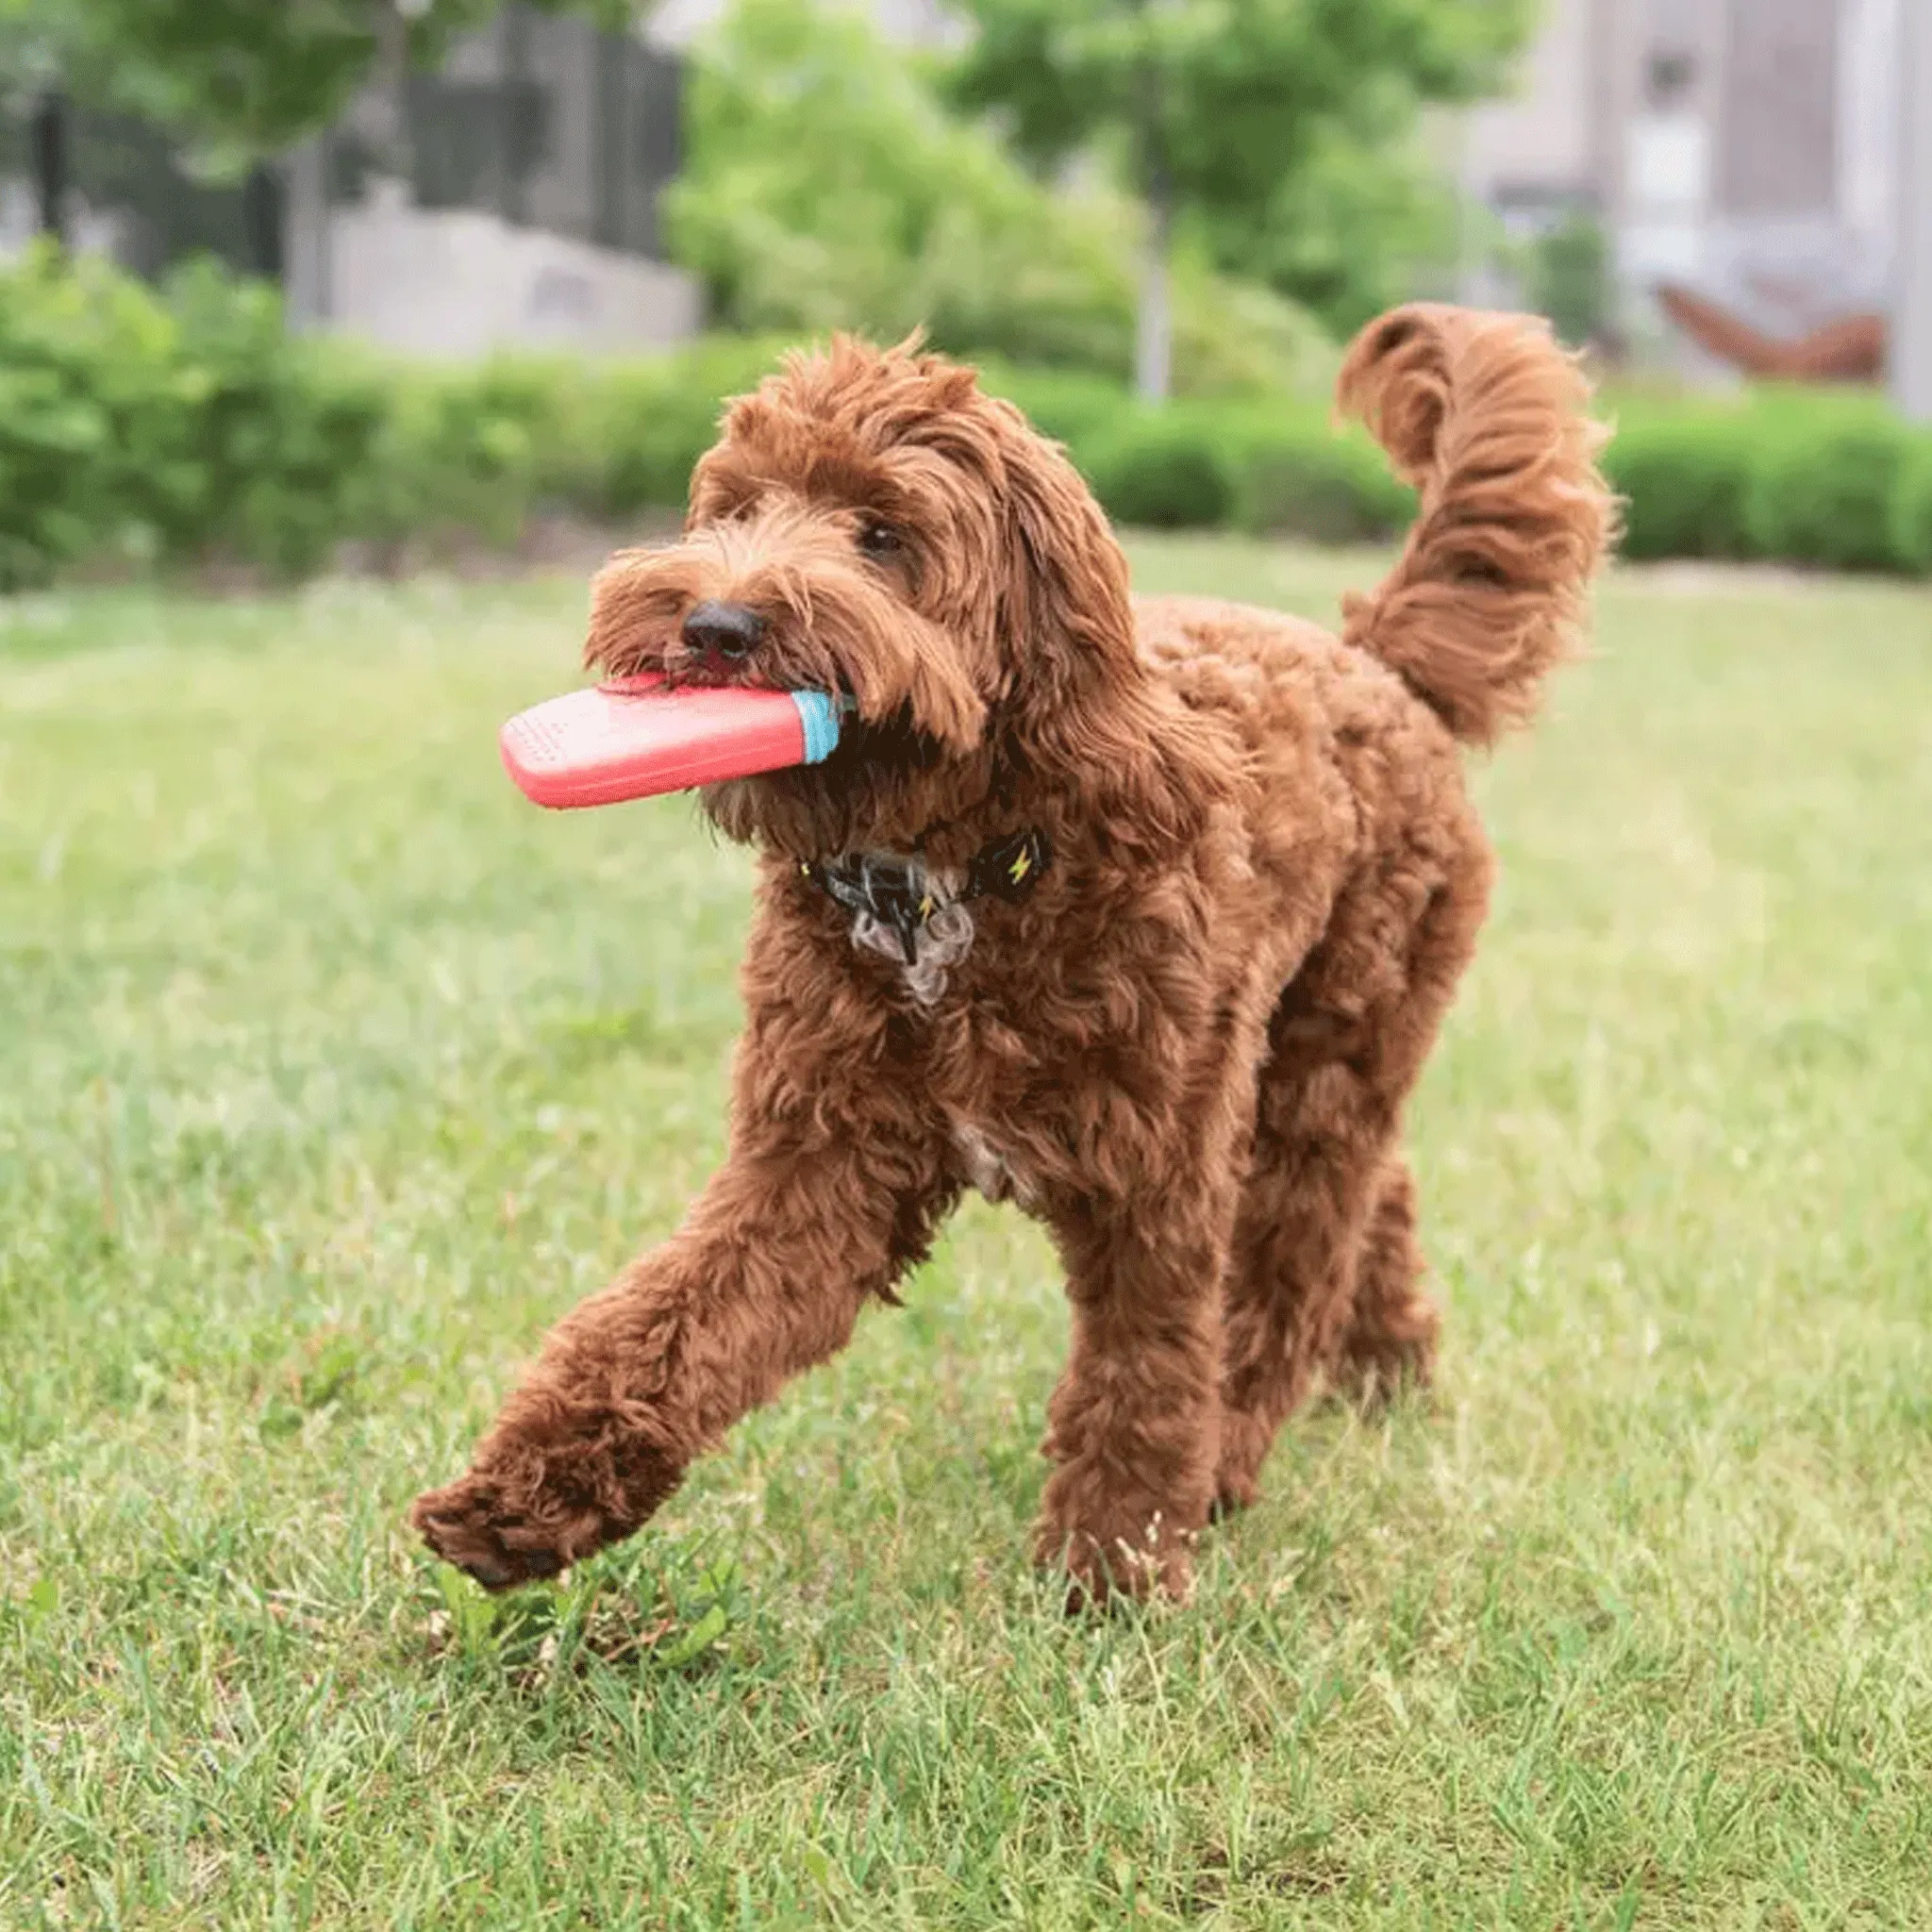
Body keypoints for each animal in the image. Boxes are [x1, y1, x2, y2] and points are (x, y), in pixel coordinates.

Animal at [419, 301, 1615, 1599]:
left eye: (882, 535)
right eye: (732, 511)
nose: (715, 625)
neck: (944, 877)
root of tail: (1375, 657)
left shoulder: (1159, 1178)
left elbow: (1147, 1373)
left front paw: (1113, 1571)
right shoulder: (819, 1159)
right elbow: (674, 1316)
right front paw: (521, 1496)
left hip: (1334, 1043)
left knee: (1291, 1260)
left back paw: (1239, 1448)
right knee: (1371, 1195)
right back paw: (1388, 1367)